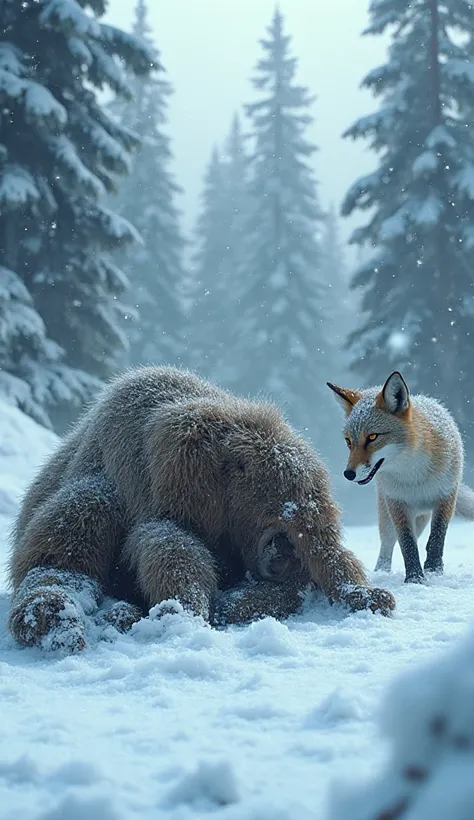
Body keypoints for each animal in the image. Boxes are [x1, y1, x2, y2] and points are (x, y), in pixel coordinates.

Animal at [327, 370, 474, 584]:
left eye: (372, 437)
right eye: (348, 441)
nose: (348, 474)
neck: (414, 477)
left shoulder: (446, 496)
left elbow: (437, 538)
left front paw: (434, 570)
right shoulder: (397, 503)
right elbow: (407, 544)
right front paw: (415, 578)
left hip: (422, 516)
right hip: (389, 515)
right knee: (388, 543)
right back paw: (381, 571)